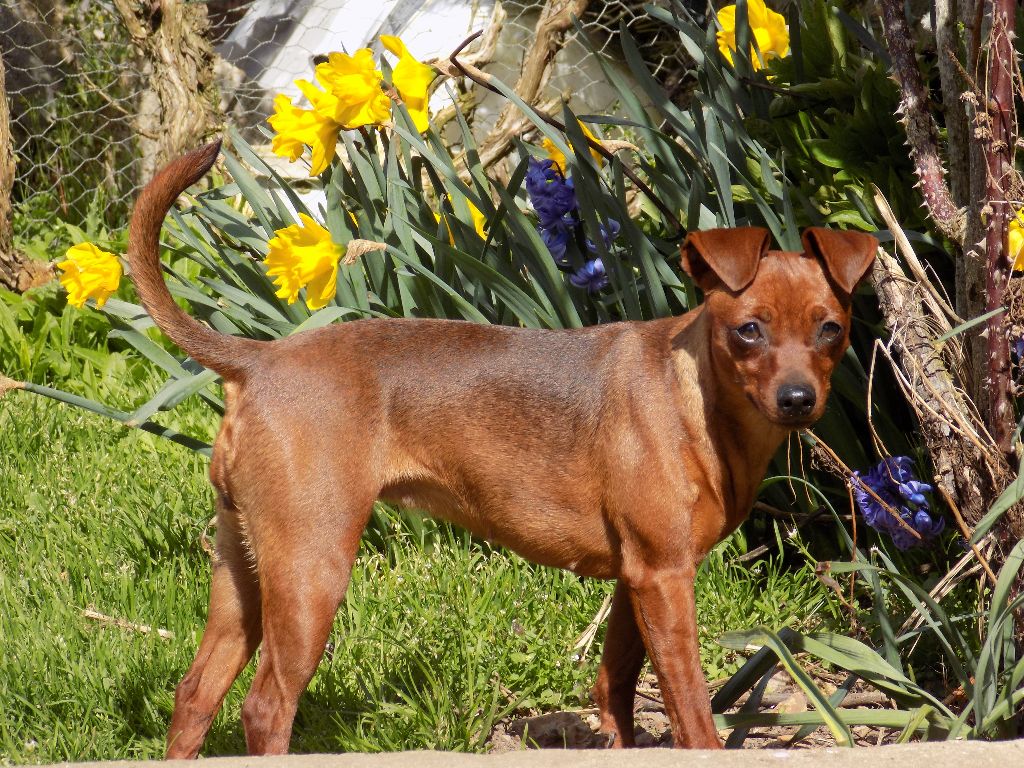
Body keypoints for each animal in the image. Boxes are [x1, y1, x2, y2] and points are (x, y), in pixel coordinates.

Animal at [128, 143, 876, 757]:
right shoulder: (665, 578)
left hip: (242, 577)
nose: (799, 399)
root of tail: (261, 359)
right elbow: (691, 711)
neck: (697, 399)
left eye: (831, 330)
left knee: (194, 696)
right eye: (749, 331)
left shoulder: (636, 581)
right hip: (311, 571)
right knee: (265, 707)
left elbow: (615, 690)